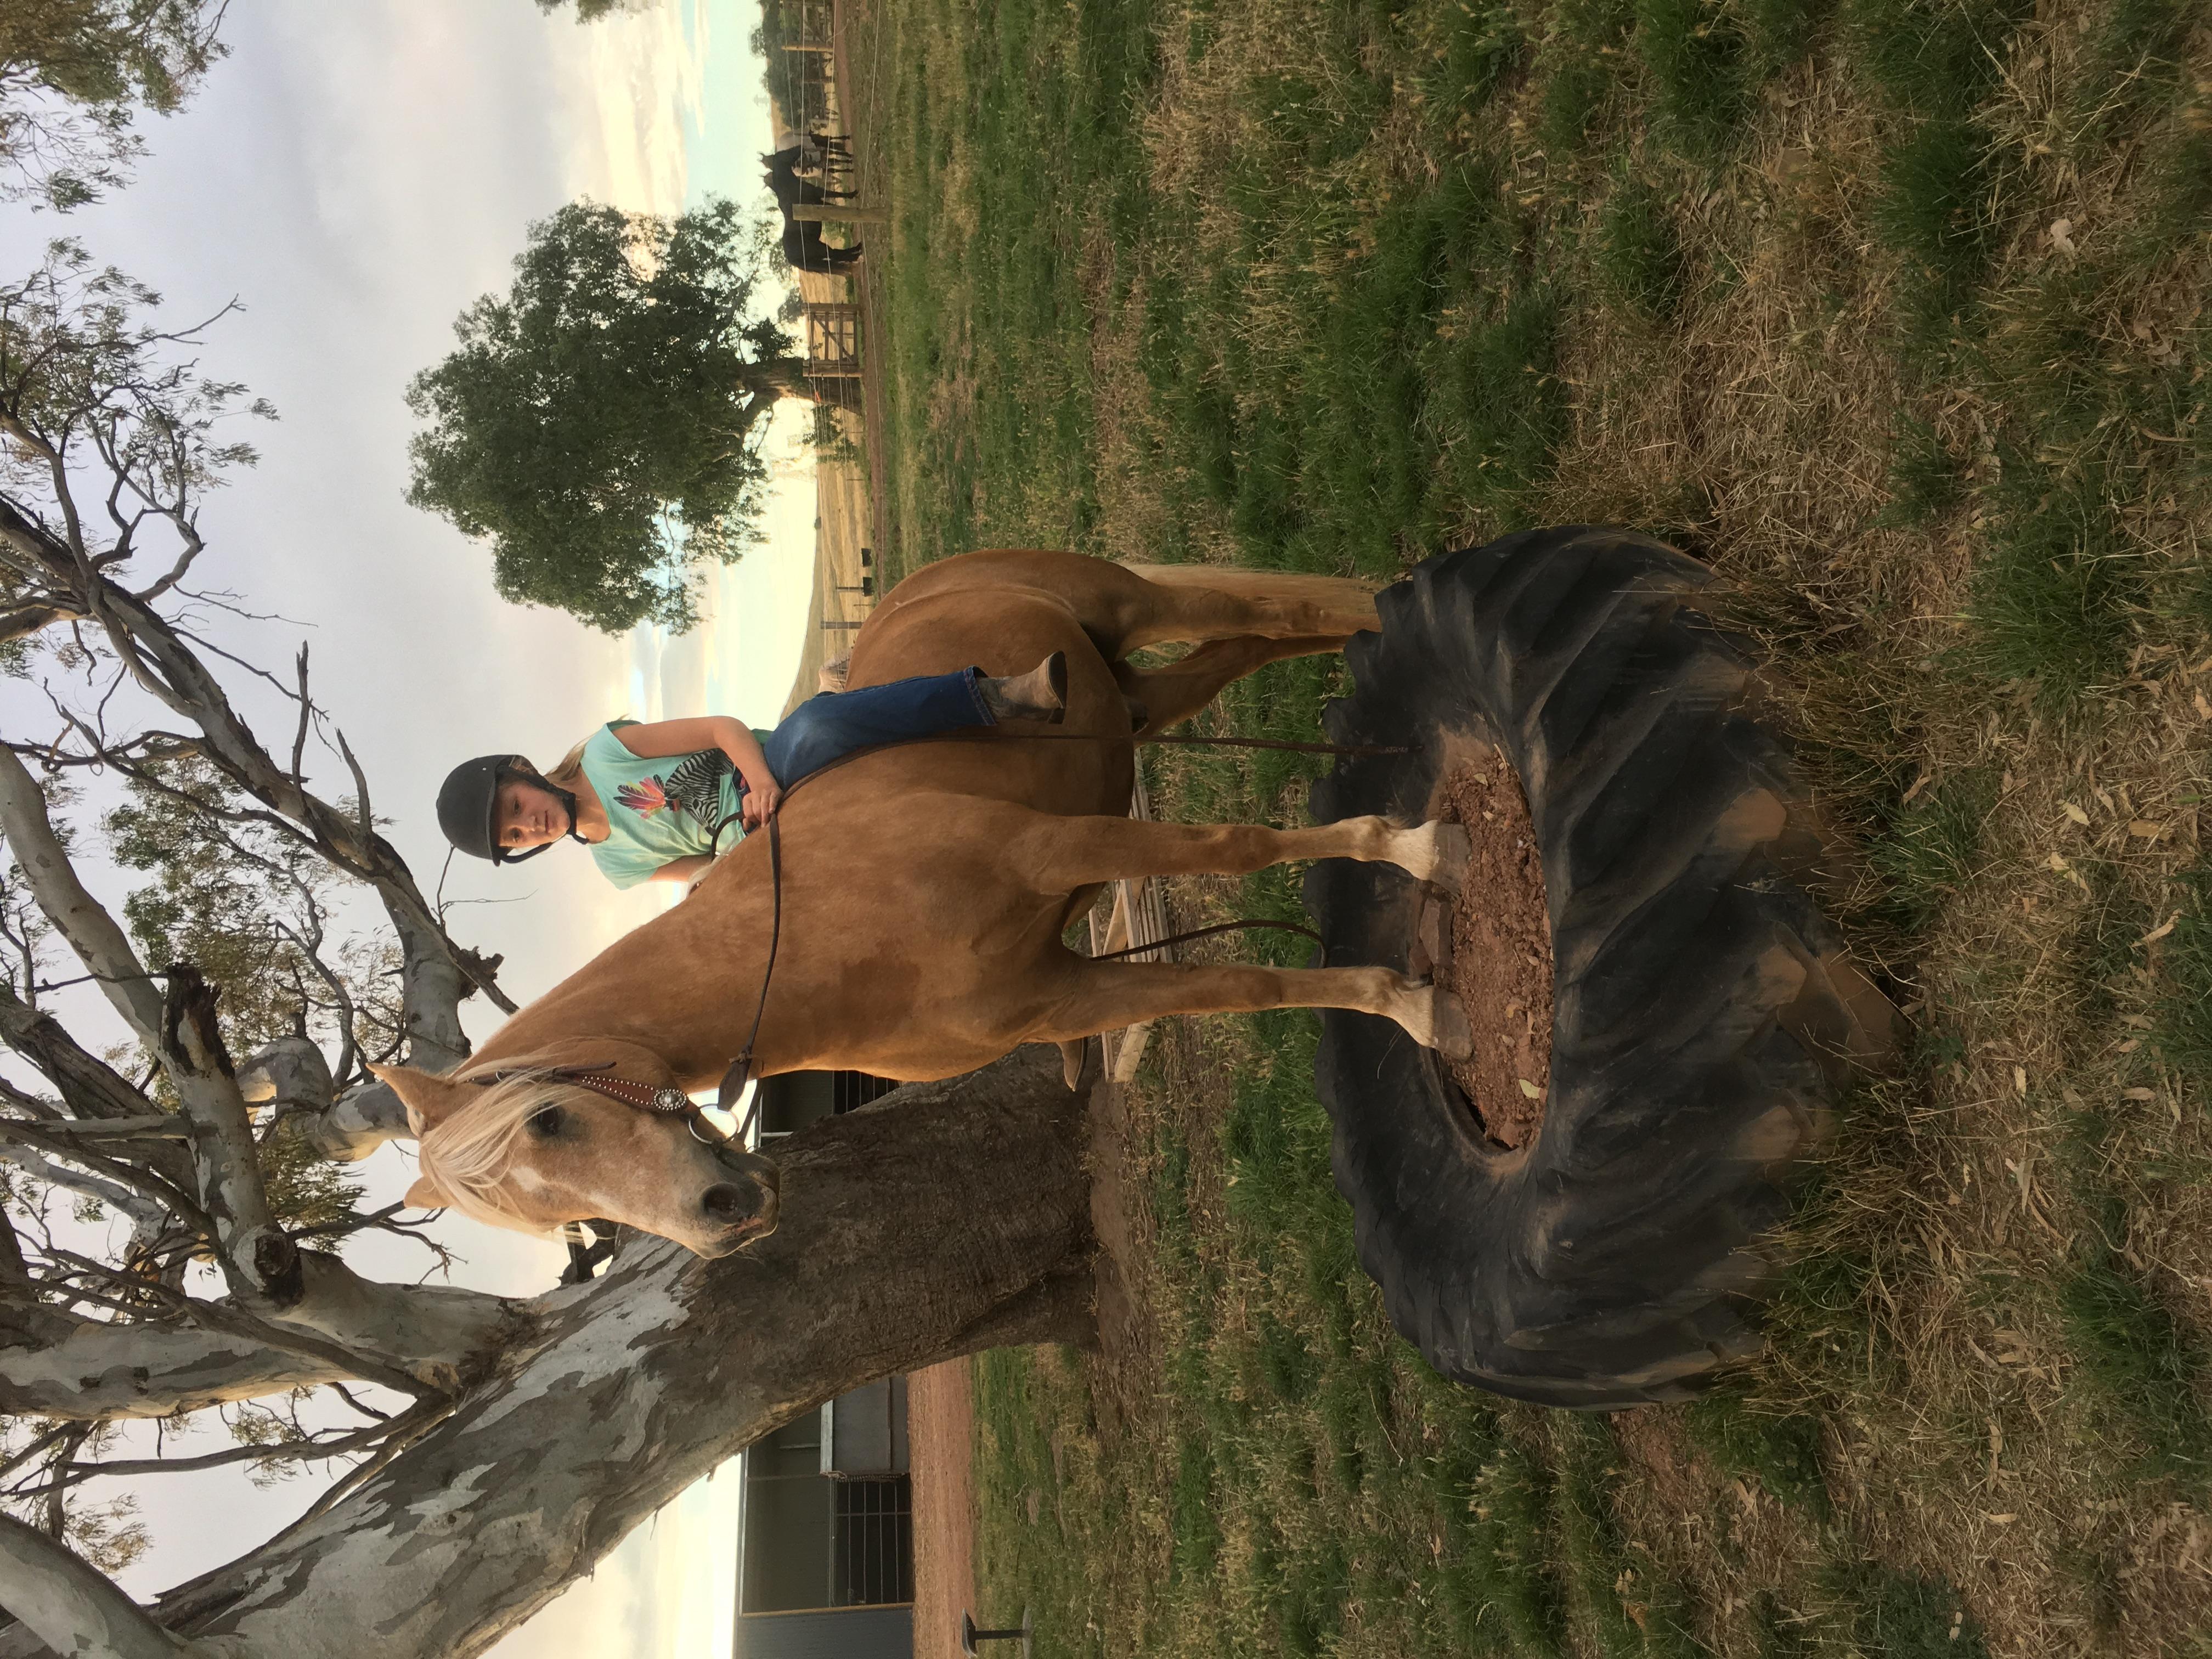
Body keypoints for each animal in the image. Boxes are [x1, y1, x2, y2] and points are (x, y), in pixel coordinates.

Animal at [376, 551, 1474, 1257]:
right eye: (543, 1219)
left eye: (553, 1121)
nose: (721, 1214)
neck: (812, 945)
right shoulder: (1067, 994)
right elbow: (1244, 988)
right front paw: (1409, 1004)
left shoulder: (1055, 847)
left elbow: (1240, 847)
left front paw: (1417, 848)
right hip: (1135, 703)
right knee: (1255, 646)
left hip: (1135, 606)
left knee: (1287, 612)